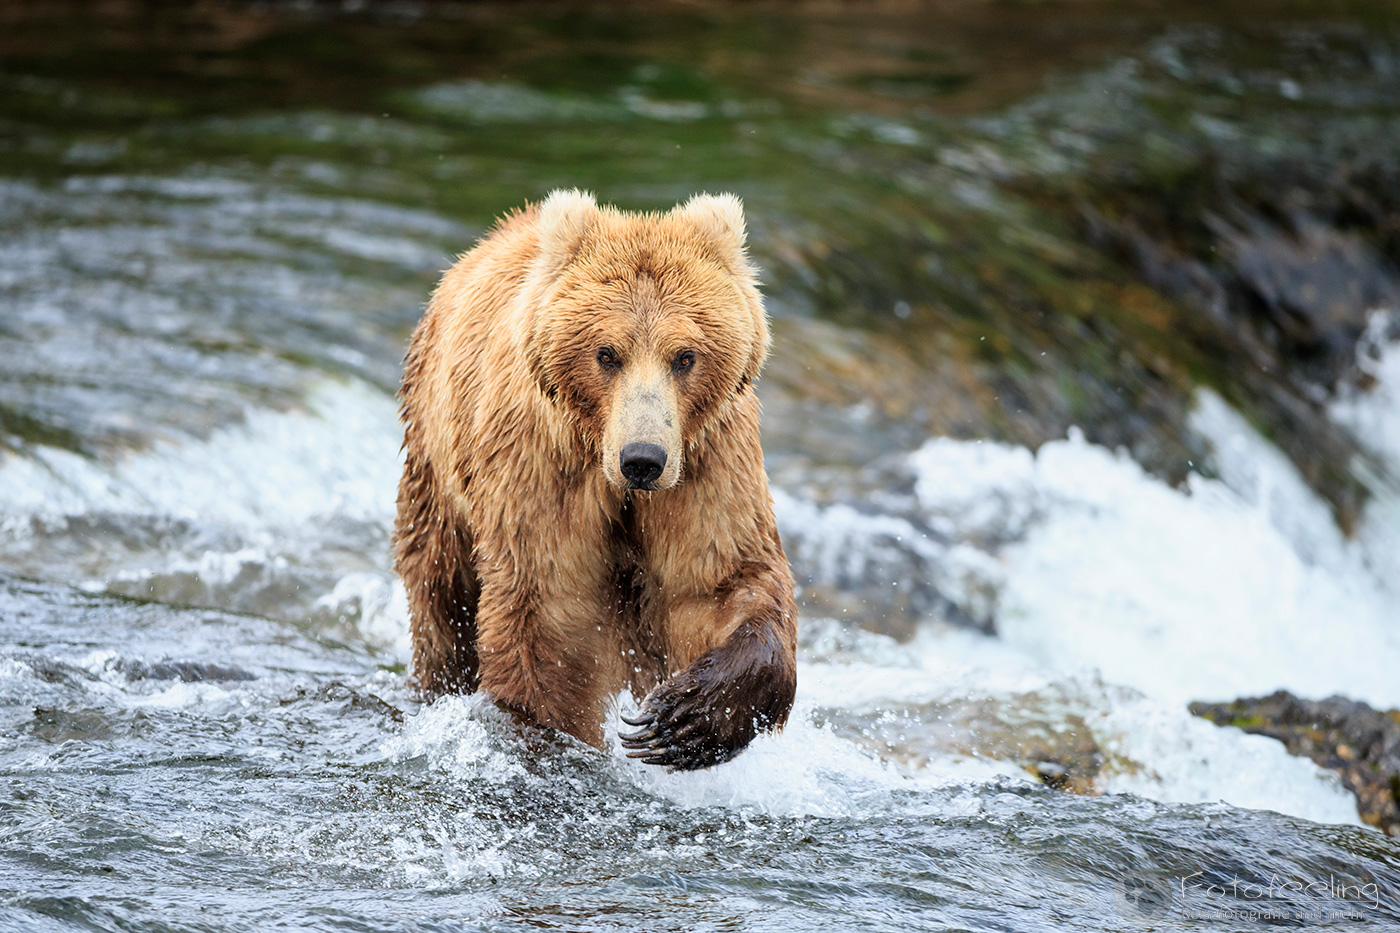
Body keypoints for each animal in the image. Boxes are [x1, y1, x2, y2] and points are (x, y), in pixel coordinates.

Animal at [393, 189, 798, 770]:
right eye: (607, 353)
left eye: (685, 356)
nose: (642, 459)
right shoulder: (541, 468)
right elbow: (548, 621)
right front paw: (558, 734)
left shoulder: (706, 462)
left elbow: (721, 582)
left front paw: (680, 720)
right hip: (437, 467)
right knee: (441, 598)